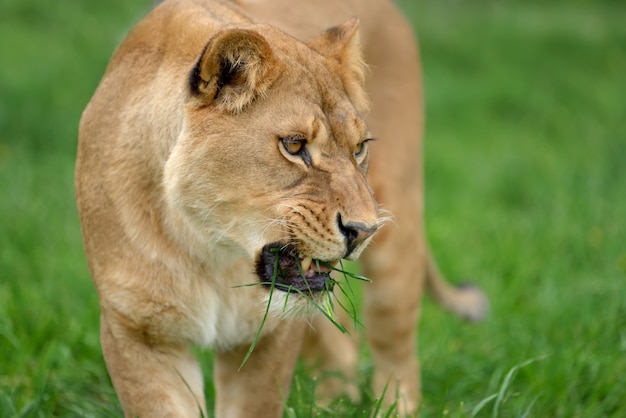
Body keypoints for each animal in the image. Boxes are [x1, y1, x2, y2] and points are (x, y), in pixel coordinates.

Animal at [75, 0, 486, 416]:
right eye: (294, 145)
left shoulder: (272, 332)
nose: (364, 230)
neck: (209, 248)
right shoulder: (137, 333)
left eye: (359, 148)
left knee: (397, 354)